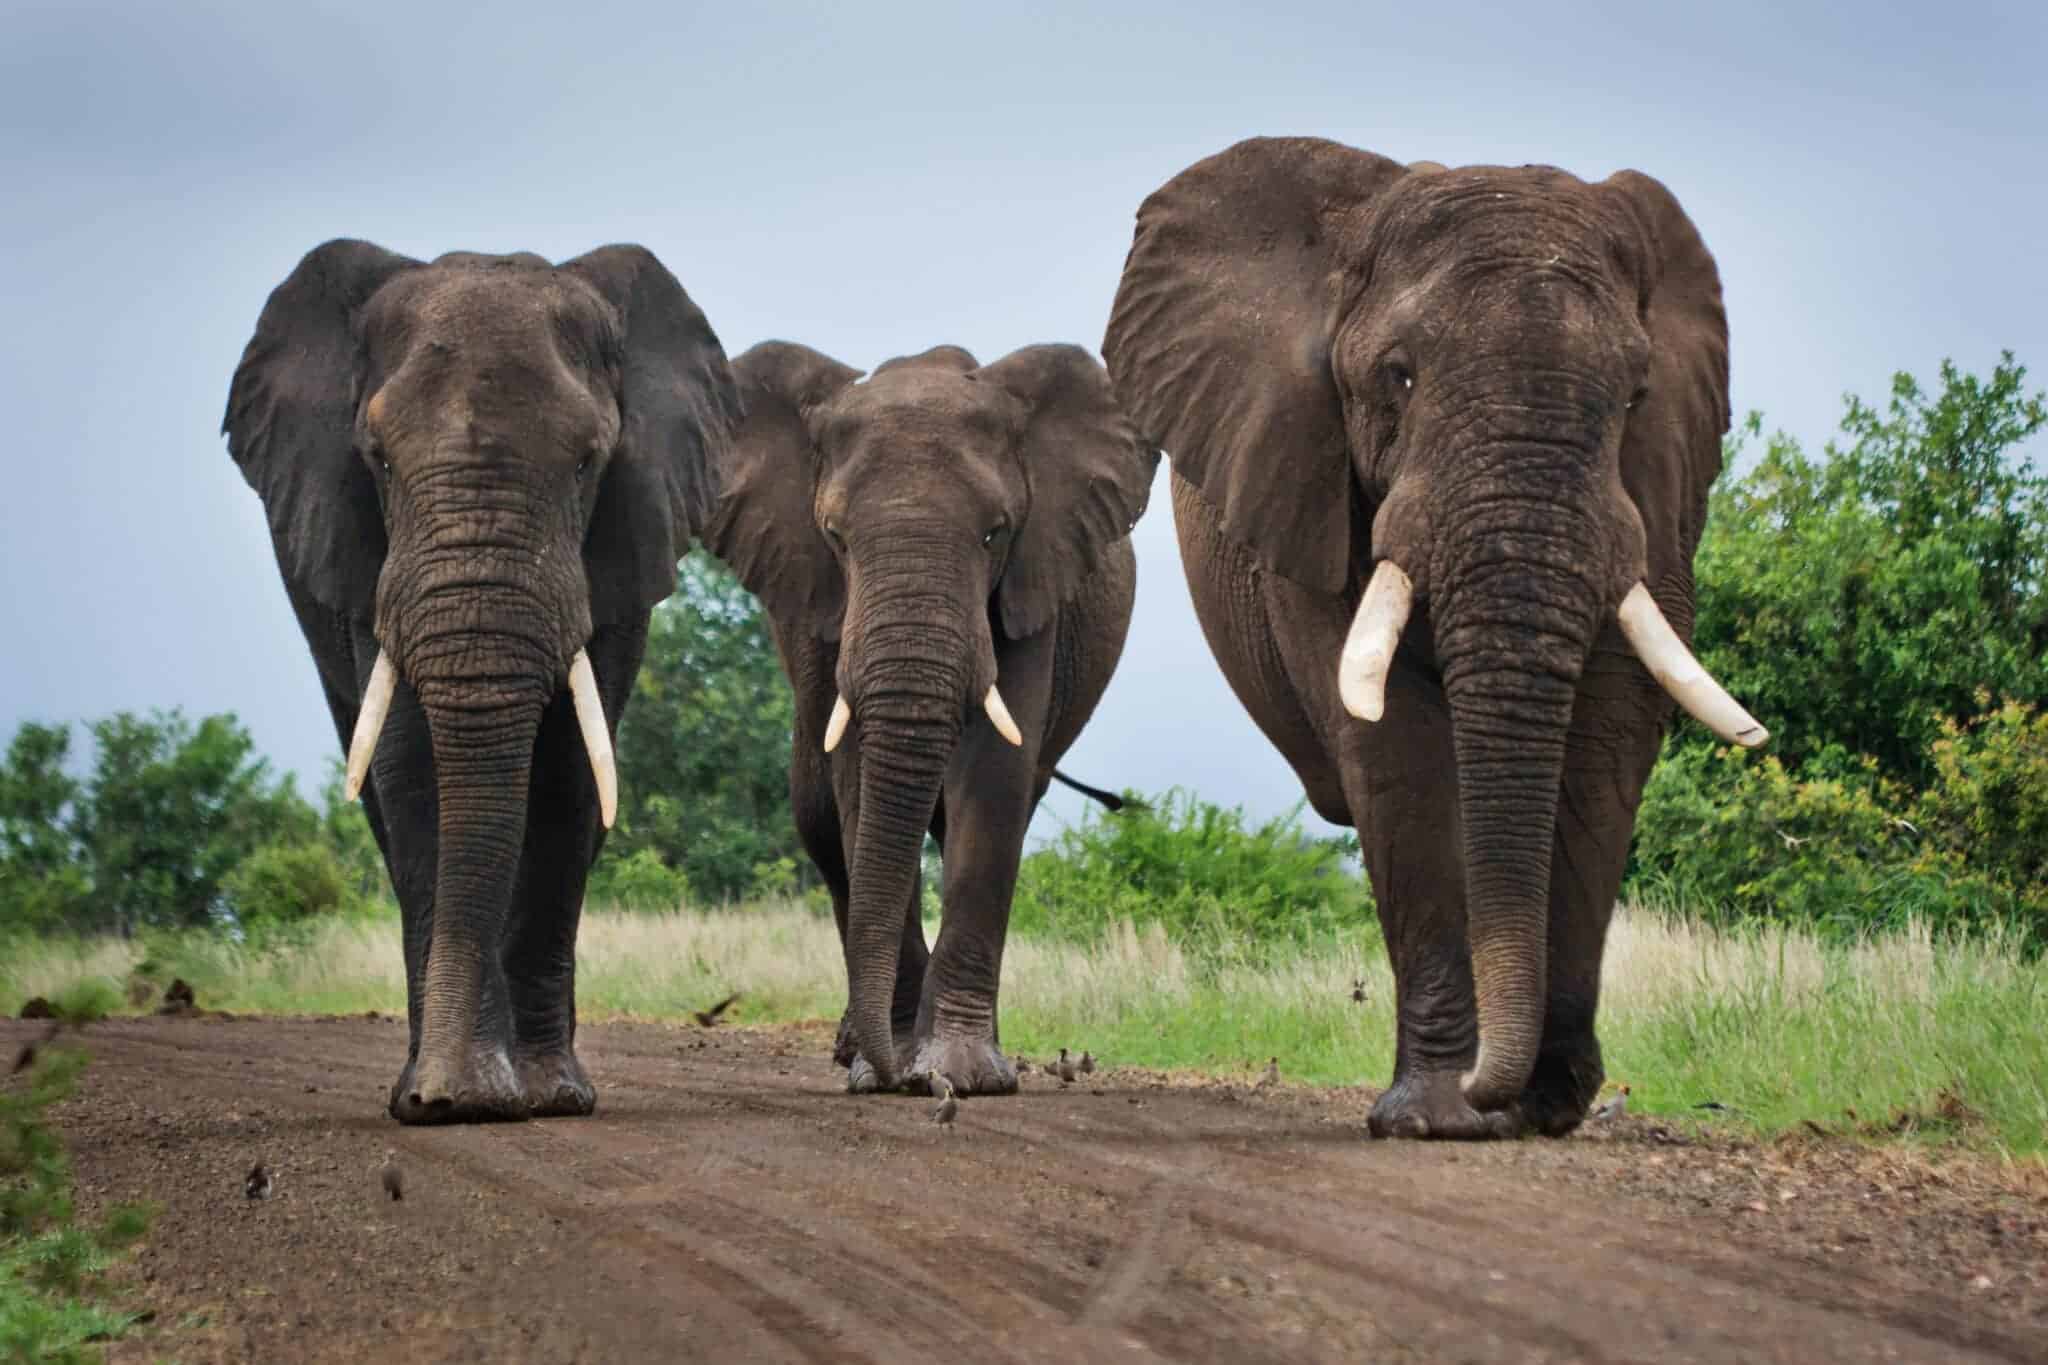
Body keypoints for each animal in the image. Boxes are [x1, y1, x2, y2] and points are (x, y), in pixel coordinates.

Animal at [224, 240, 739, 1123]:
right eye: (377, 459)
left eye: (587, 463)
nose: (443, 1094)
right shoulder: (364, 552)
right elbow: (412, 768)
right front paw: (448, 1096)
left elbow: (569, 771)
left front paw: (548, 1095)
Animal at [703, 341, 1157, 1095]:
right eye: (835, 536)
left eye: (995, 533)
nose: (896, 1076)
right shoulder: (820, 605)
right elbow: (857, 784)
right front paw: (882, 1066)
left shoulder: (1034, 583)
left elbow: (995, 781)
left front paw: (960, 1072)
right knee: (819, 820)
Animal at [1102, 137, 1767, 1139]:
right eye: (1400, 375)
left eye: (1635, 396)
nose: (1506, 1087)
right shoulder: (1312, 481)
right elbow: (1399, 748)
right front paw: (1439, 1115)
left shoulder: (1662, 497)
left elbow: (1609, 734)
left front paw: (1544, 1104)